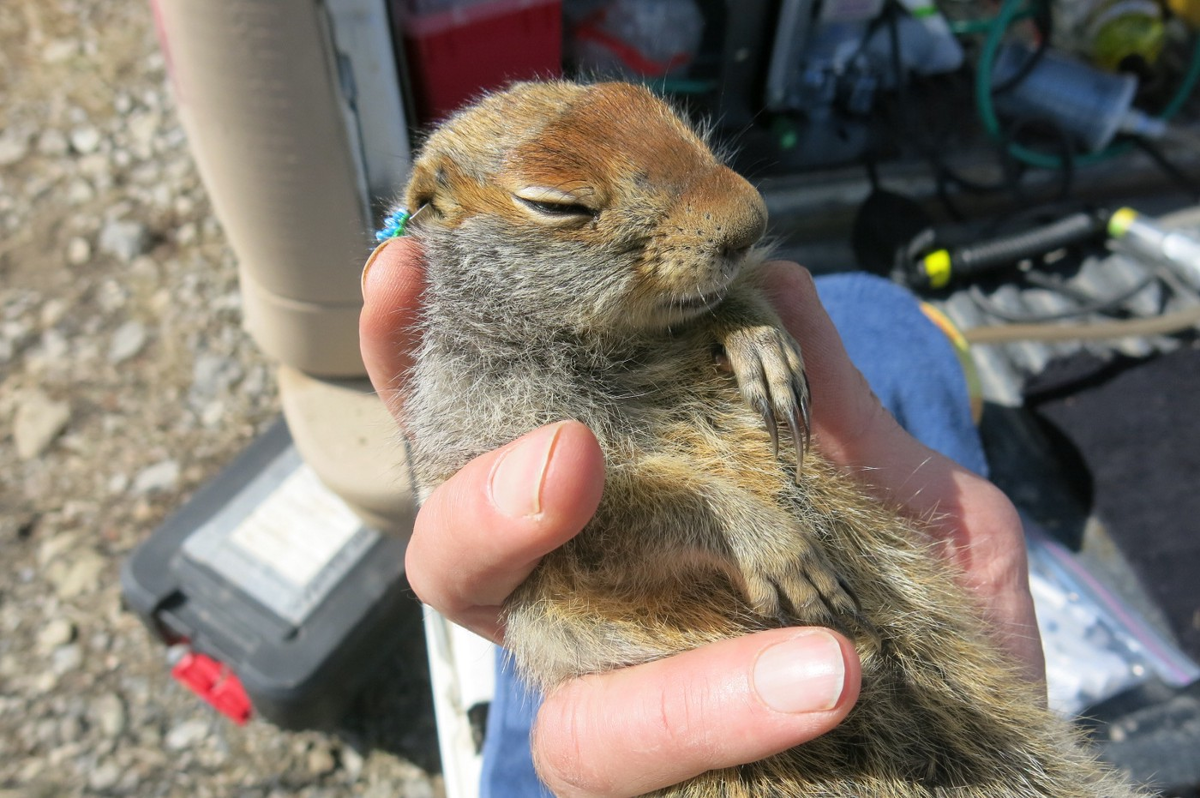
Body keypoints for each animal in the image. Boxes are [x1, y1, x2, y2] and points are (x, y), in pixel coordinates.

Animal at [396, 82, 1142, 796]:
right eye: (556, 205)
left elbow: (732, 310)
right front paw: (774, 542)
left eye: (674, 121)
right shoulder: (503, 448)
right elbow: (631, 514)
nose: (748, 221)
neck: (614, 348)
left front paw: (759, 340)